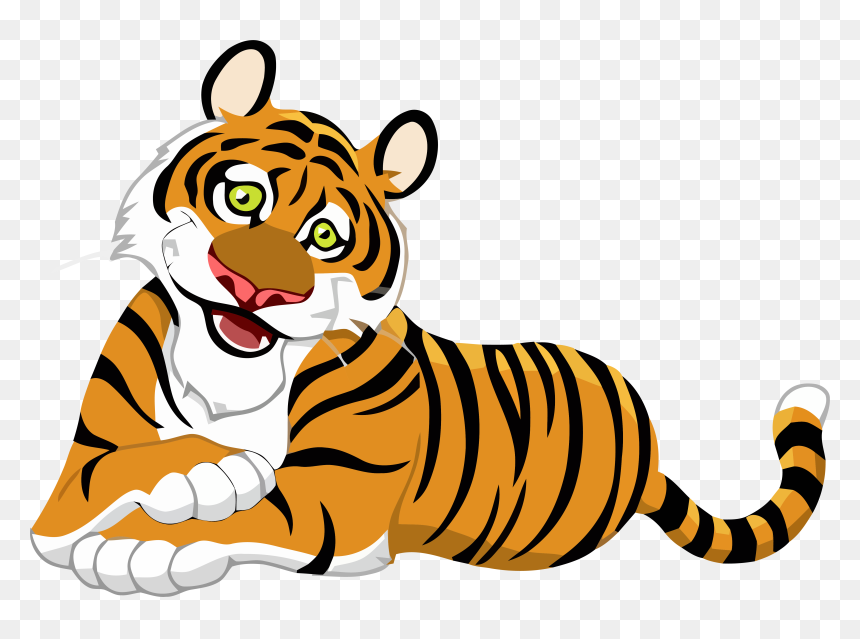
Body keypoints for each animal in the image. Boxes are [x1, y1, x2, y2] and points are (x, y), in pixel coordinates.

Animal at [31, 41, 830, 595]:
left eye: (325, 236)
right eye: (245, 197)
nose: (256, 289)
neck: (228, 381)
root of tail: (650, 457)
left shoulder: (333, 499)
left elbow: (250, 511)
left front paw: (143, 542)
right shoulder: (73, 479)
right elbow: (100, 482)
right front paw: (203, 468)